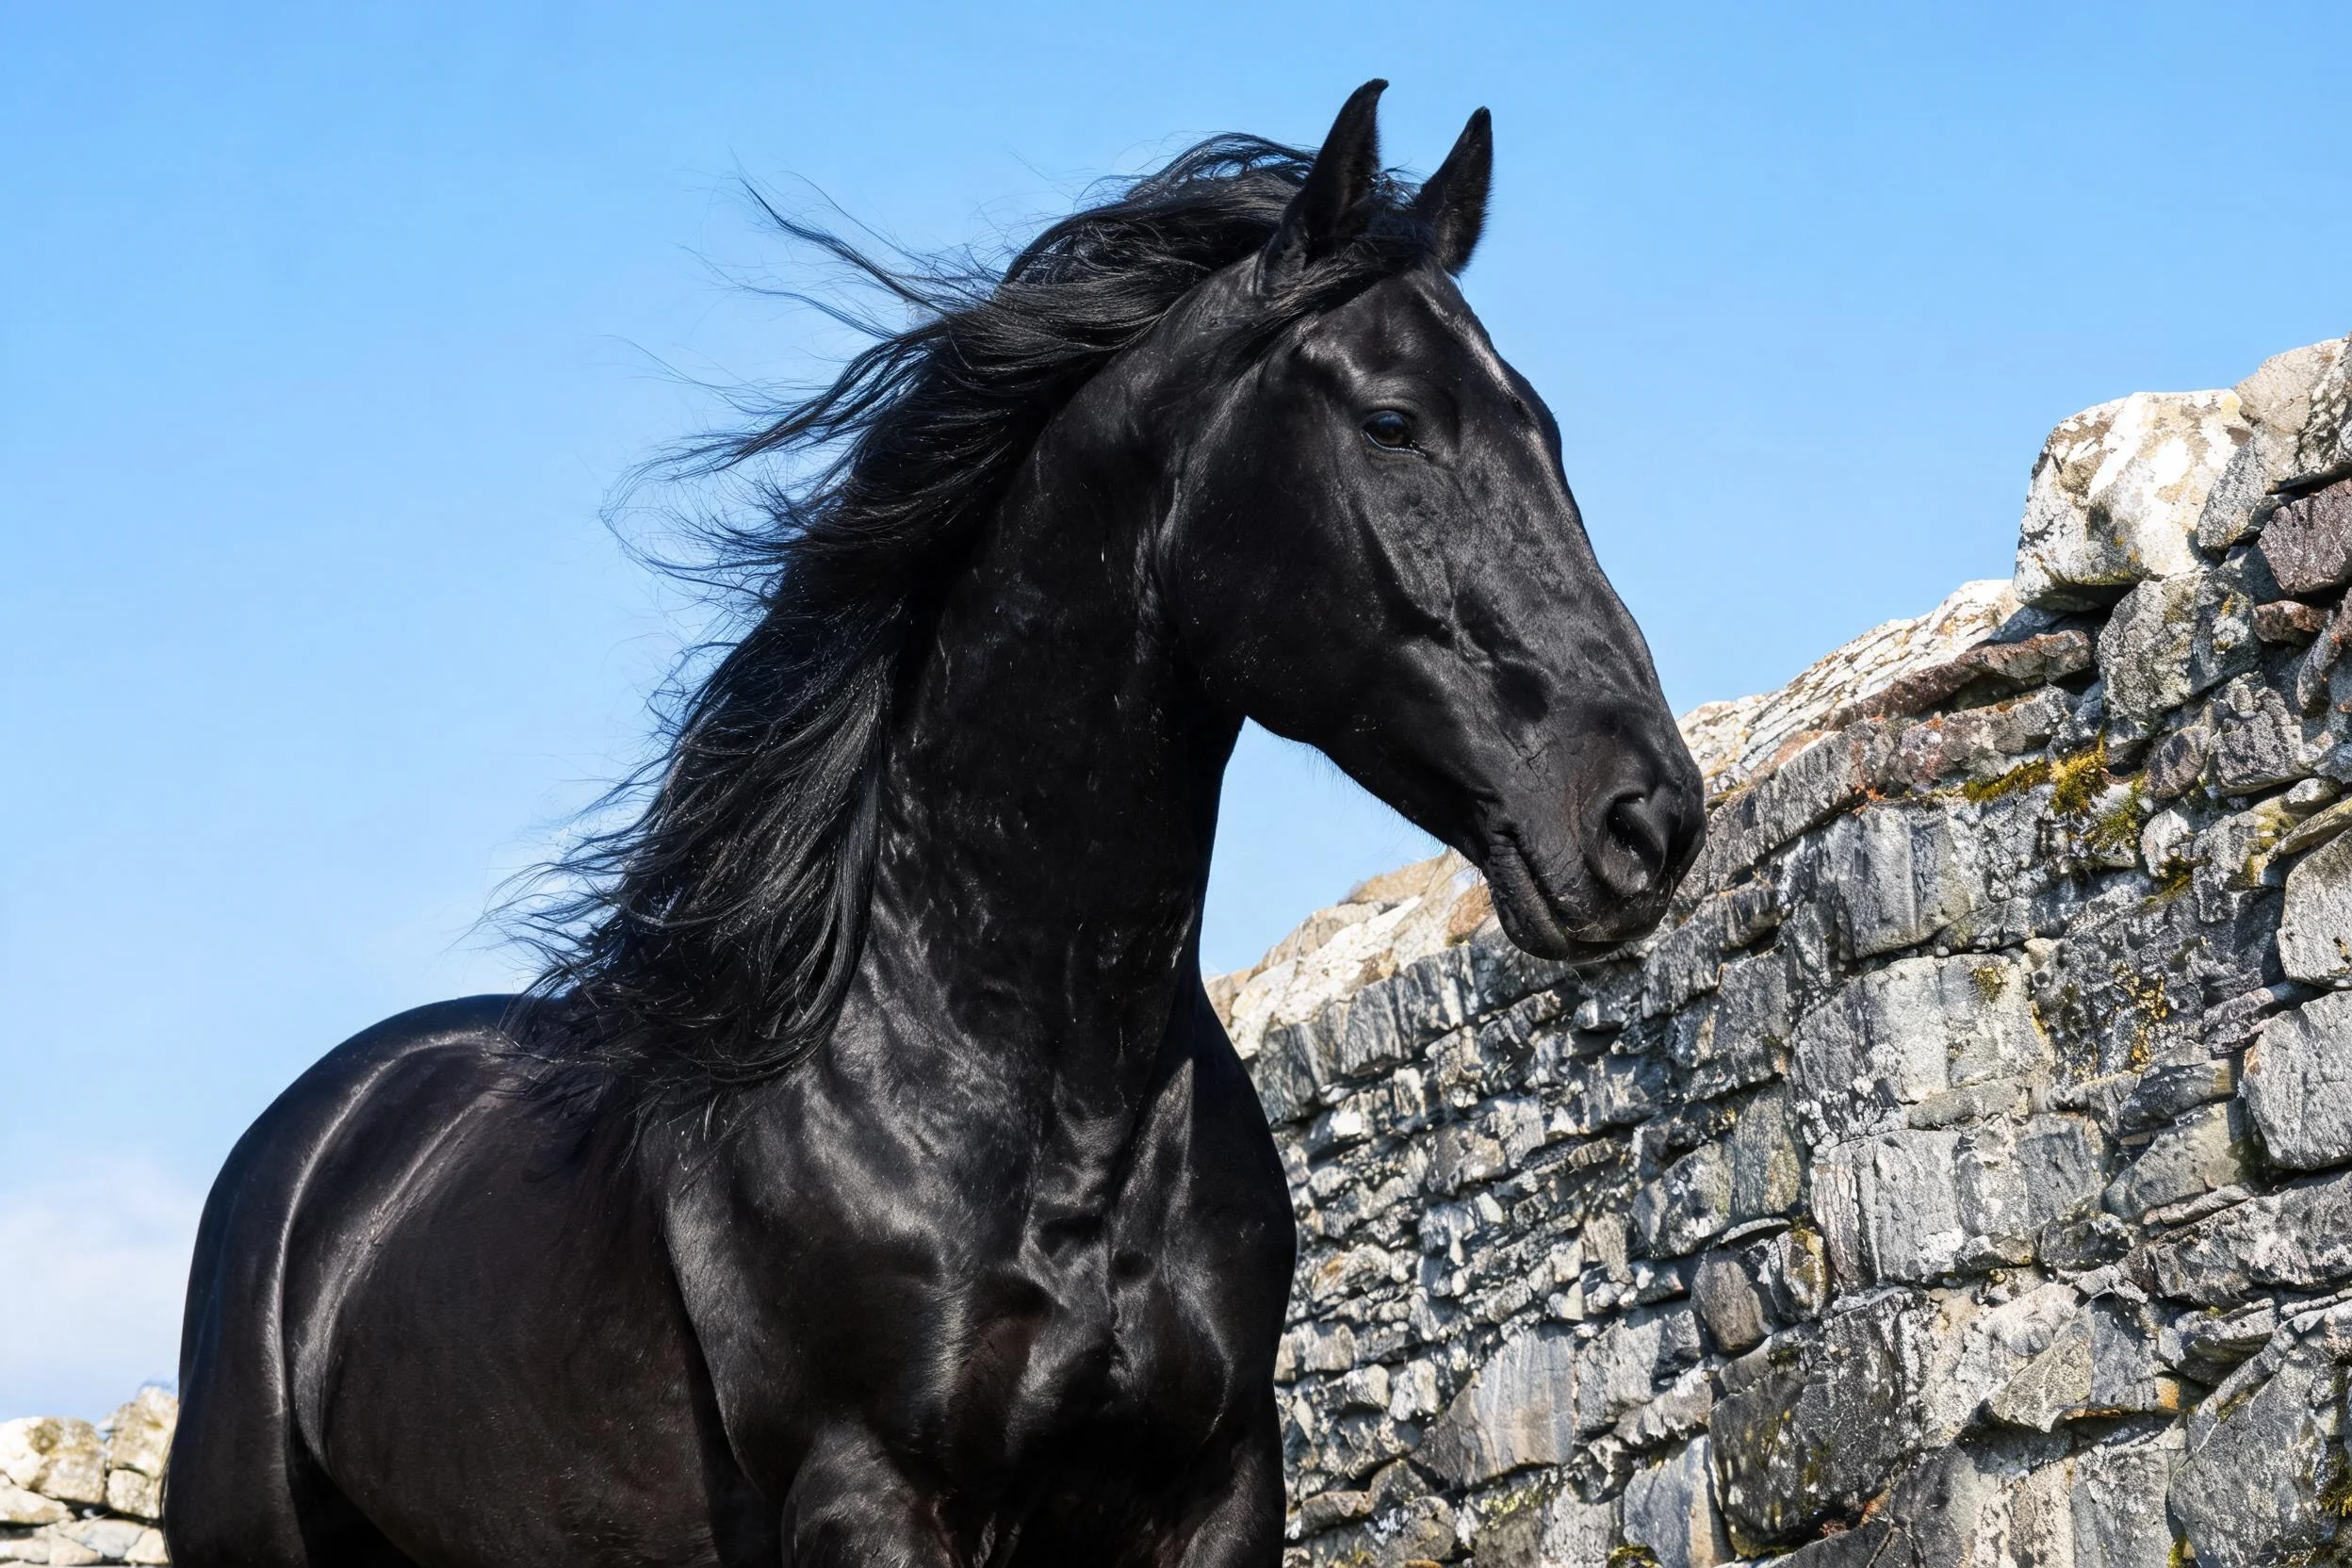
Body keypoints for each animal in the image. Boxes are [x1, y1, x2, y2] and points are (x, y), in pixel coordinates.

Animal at [165, 81, 1703, 1568]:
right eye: (1392, 422)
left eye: (1545, 426)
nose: (1646, 818)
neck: (1015, 1092)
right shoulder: (871, 1496)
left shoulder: (1219, 1490)